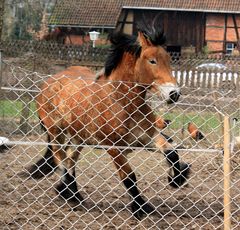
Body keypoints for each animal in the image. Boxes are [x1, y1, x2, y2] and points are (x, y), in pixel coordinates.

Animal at [27, 21, 189, 219]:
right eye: (152, 60)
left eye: (168, 59)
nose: (174, 94)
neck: (121, 102)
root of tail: (48, 83)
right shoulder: (114, 149)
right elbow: (129, 177)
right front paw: (141, 208)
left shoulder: (147, 138)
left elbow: (171, 152)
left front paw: (177, 178)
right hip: (56, 133)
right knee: (61, 160)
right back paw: (68, 193)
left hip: (79, 137)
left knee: (70, 160)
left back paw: (74, 195)